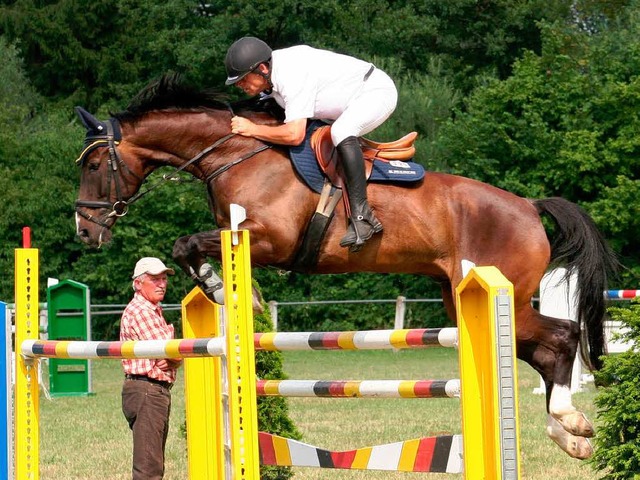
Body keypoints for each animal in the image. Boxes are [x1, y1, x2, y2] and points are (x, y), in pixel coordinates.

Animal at [72, 74, 616, 458]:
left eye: (95, 166)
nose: (85, 229)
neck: (237, 153)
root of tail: (527, 205)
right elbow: (188, 245)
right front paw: (223, 290)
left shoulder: (270, 239)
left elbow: (187, 244)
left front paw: (228, 291)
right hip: (462, 299)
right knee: (544, 349)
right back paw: (573, 436)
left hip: (503, 295)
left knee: (562, 335)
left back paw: (570, 421)